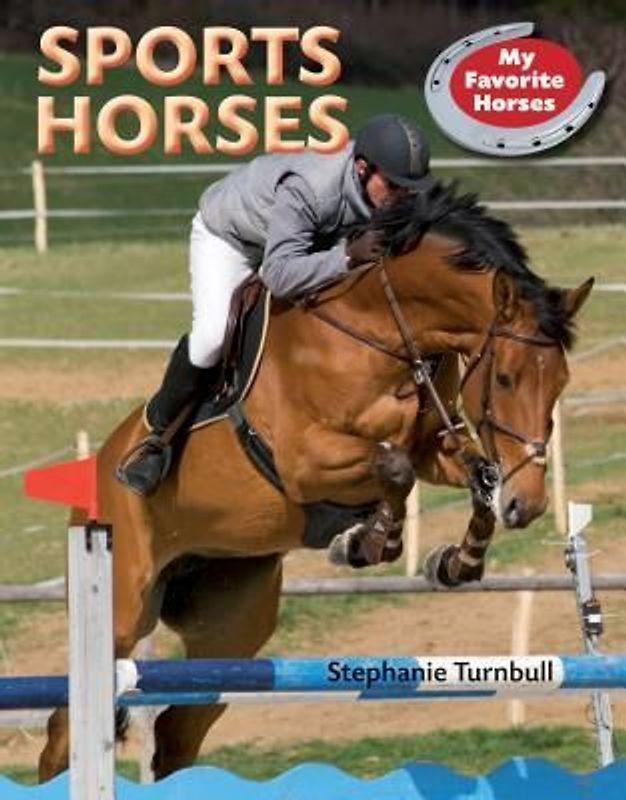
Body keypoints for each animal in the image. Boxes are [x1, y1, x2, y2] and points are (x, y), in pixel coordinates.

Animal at [39, 184, 592, 780]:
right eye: (507, 378)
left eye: (561, 382)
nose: (528, 504)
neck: (381, 325)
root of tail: (96, 474)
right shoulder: (302, 459)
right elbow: (393, 468)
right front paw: (370, 540)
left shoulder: (433, 447)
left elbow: (469, 475)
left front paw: (455, 560)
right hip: (121, 610)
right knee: (65, 729)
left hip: (231, 627)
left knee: (176, 734)